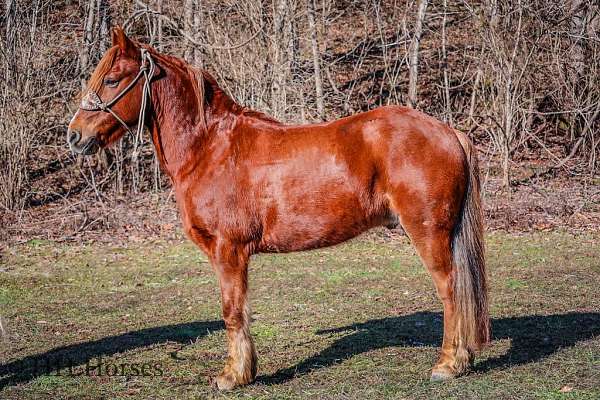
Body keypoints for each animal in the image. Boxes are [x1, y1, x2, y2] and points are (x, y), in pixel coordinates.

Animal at [68, 26, 490, 390]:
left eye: (112, 79)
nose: (75, 136)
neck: (209, 148)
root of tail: (448, 131)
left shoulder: (229, 250)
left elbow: (232, 311)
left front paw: (233, 376)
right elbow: (240, 311)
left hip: (428, 232)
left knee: (451, 290)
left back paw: (448, 364)